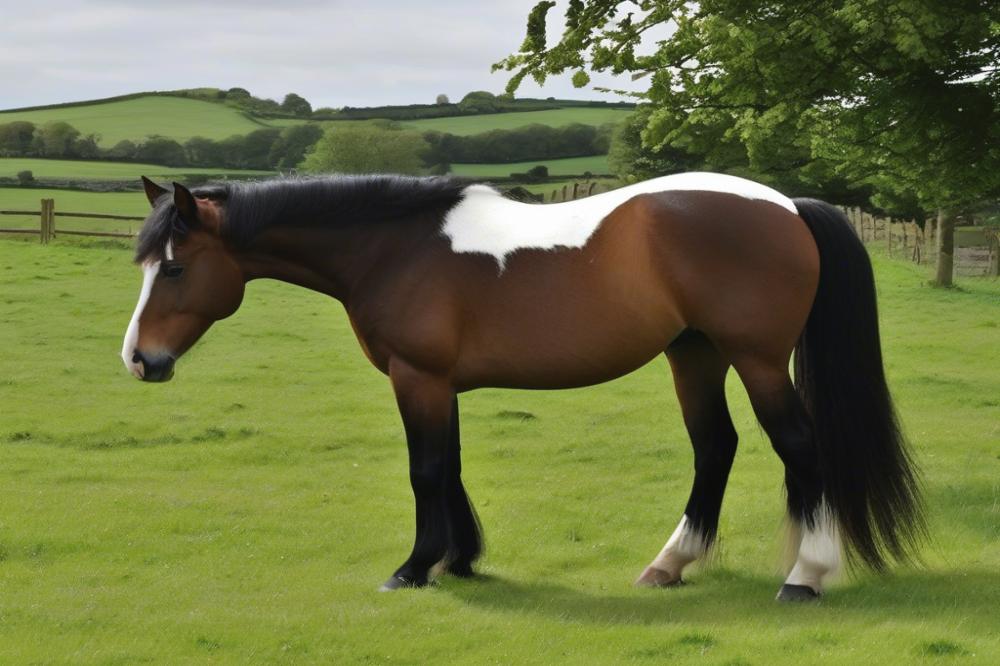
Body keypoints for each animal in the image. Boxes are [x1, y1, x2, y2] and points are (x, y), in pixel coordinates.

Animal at [123, 171, 920, 596]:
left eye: (176, 267)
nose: (139, 360)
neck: (395, 246)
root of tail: (787, 206)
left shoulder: (418, 377)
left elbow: (425, 470)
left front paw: (415, 567)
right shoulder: (440, 384)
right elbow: (449, 467)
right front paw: (460, 558)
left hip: (753, 359)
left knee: (799, 449)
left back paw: (806, 575)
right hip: (694, 355)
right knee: (714, 448)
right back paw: (670, 563)